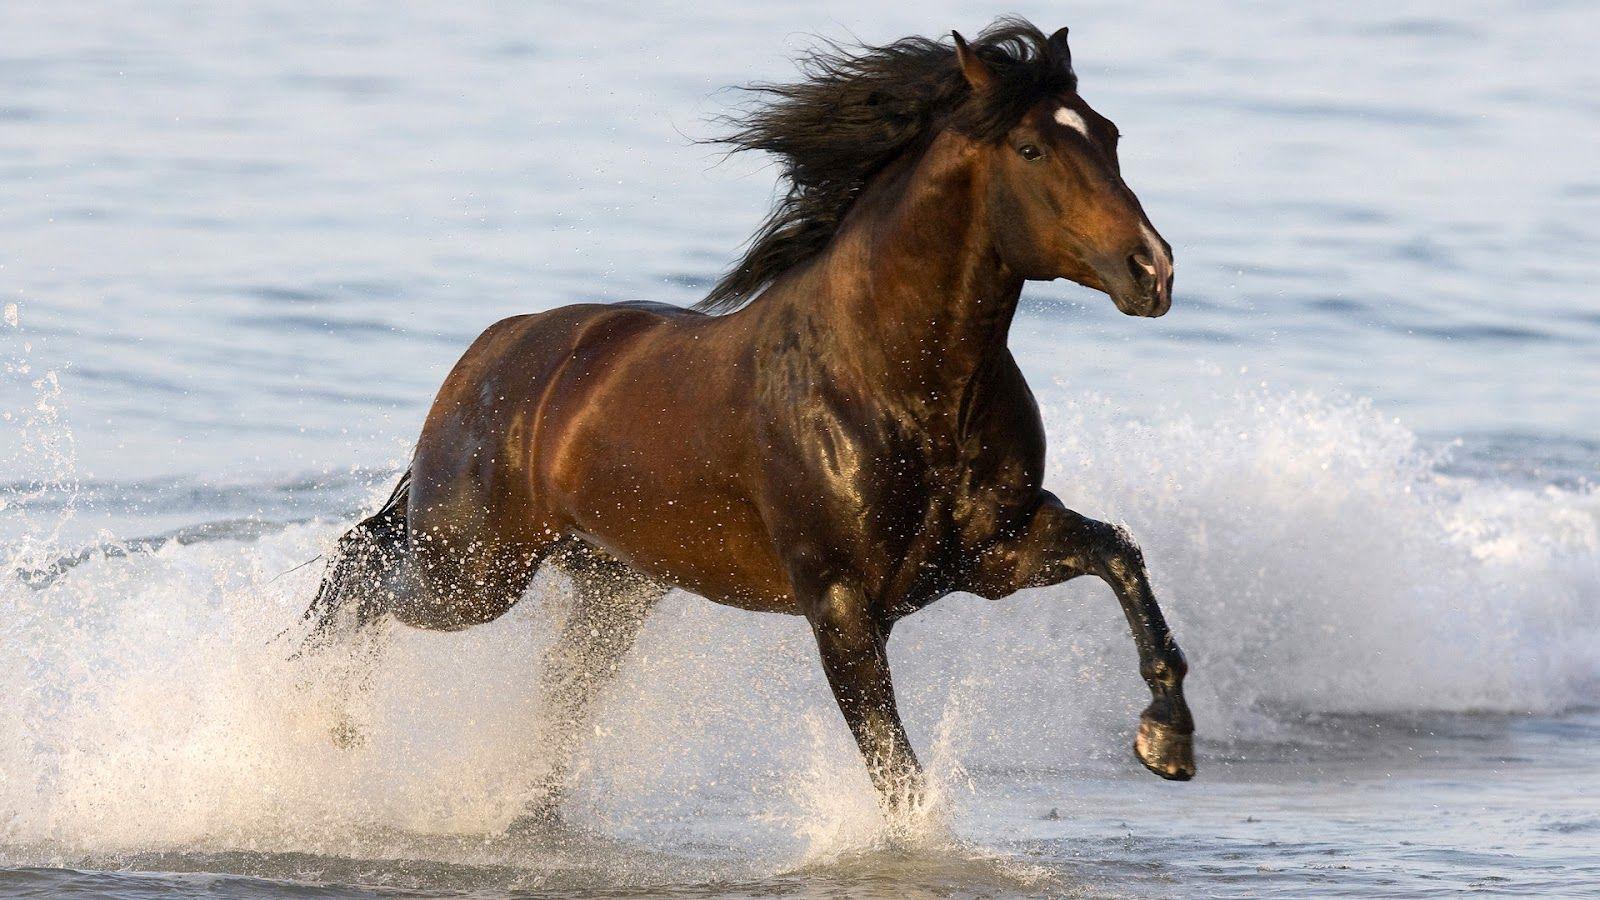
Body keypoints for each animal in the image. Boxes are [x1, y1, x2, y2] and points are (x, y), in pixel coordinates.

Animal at [305, 17, 1194, 819]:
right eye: (1033, 150)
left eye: (1110, 135)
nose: (1152, 270)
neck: (895, 383)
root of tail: (492, 351)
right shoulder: (839, 601)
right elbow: (895, 772)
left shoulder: (992, 555)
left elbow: (1118, 554)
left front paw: (1167, 740)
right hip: (473, 569)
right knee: (360, 569)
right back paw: (326, 727)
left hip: (610, 588)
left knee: (550, 690)